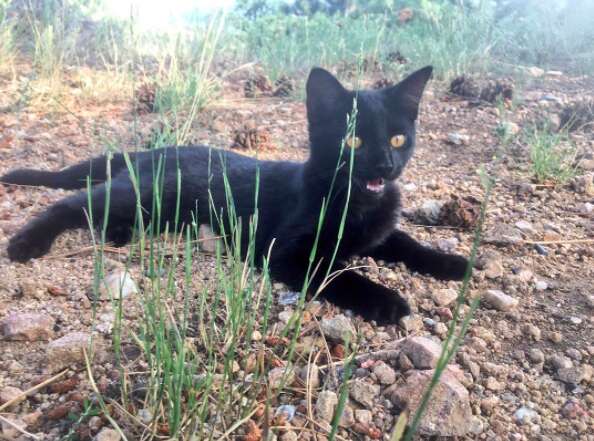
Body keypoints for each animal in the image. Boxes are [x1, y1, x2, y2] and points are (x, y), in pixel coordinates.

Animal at [2, 67, 470, 324]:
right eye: (352, 141)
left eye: (397, 139)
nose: (384, 167)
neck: (357, 204)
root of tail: (154, 151)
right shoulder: (286, 251)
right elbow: (339, 274)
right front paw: (387, 299)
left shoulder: (380, 229)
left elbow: (406, 242)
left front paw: (452, 262)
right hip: (143, 192)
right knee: (70, 203)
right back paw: (27, 242)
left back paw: (118, 234)